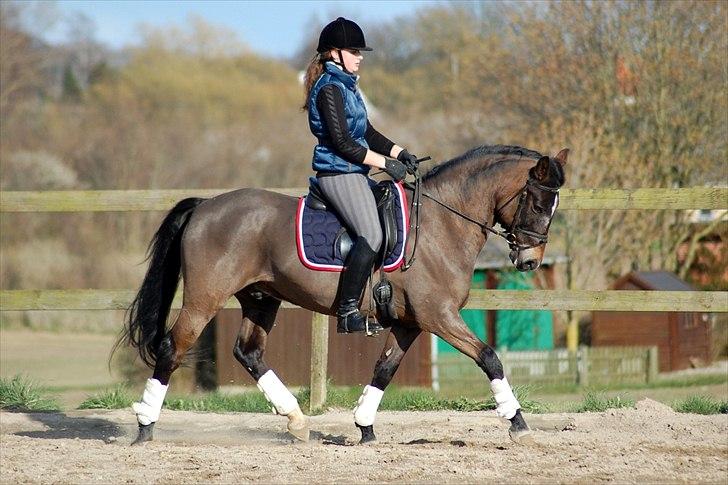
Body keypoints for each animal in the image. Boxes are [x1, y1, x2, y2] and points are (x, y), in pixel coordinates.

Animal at [119, 144, 567, 446]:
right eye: (538, 202)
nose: (530, 261)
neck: (441, 224)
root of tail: (205, 206)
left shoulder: (410, 322)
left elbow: (385, 369)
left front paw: (365, 427)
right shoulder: (439, 317)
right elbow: (489, 357)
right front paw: (519, 424)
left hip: (260, 298)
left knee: (248, 352)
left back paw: (297, 421)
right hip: (204, 300)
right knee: (172, 348)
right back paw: (144, 427)